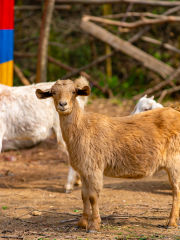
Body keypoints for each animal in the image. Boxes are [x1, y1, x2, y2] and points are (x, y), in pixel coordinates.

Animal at [36, 79, 180, 232]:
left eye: (74, 91)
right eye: (53, 92)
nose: (63, 104)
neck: (82, 128)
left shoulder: (94, 168)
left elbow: (93, 197)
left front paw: (94, 225)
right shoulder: (83, 170)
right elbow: (84, 195)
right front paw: (82, 222)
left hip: (175, 161)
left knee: (176, 190)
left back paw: (171, 222)